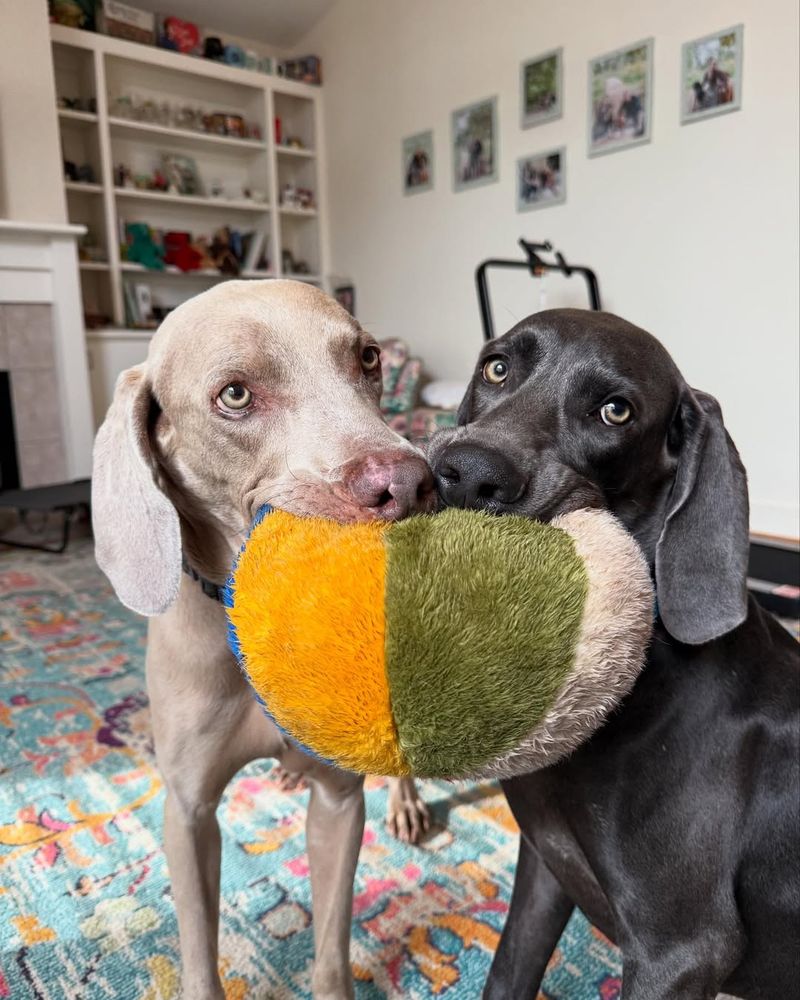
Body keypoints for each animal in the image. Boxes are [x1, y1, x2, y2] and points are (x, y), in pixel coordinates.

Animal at [92, 280, 438, 1000]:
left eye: (368, 357)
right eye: (235, 394)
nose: (410, 482)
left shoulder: (339, 802)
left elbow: (331, 949)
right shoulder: (187, 810)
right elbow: (200, 951)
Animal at [432, 310, 800, 1000]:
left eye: (615, 411)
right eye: (497, 366)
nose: (466, 472)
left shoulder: (679, 952)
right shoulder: (546, 864)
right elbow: (507, 972)